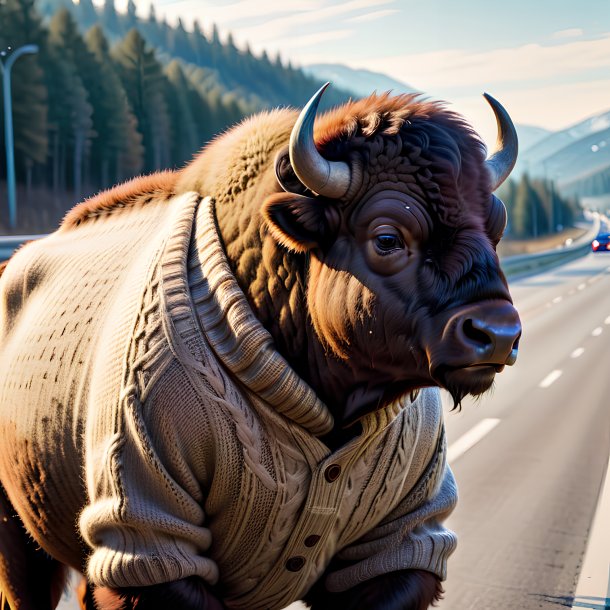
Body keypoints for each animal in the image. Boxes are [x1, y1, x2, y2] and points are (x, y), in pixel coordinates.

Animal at [0, 85, 516, 608]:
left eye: (495, 227)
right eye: (387, 237)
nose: (497, 334)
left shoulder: (399, 541)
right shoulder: (151, 541)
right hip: (20, 541)